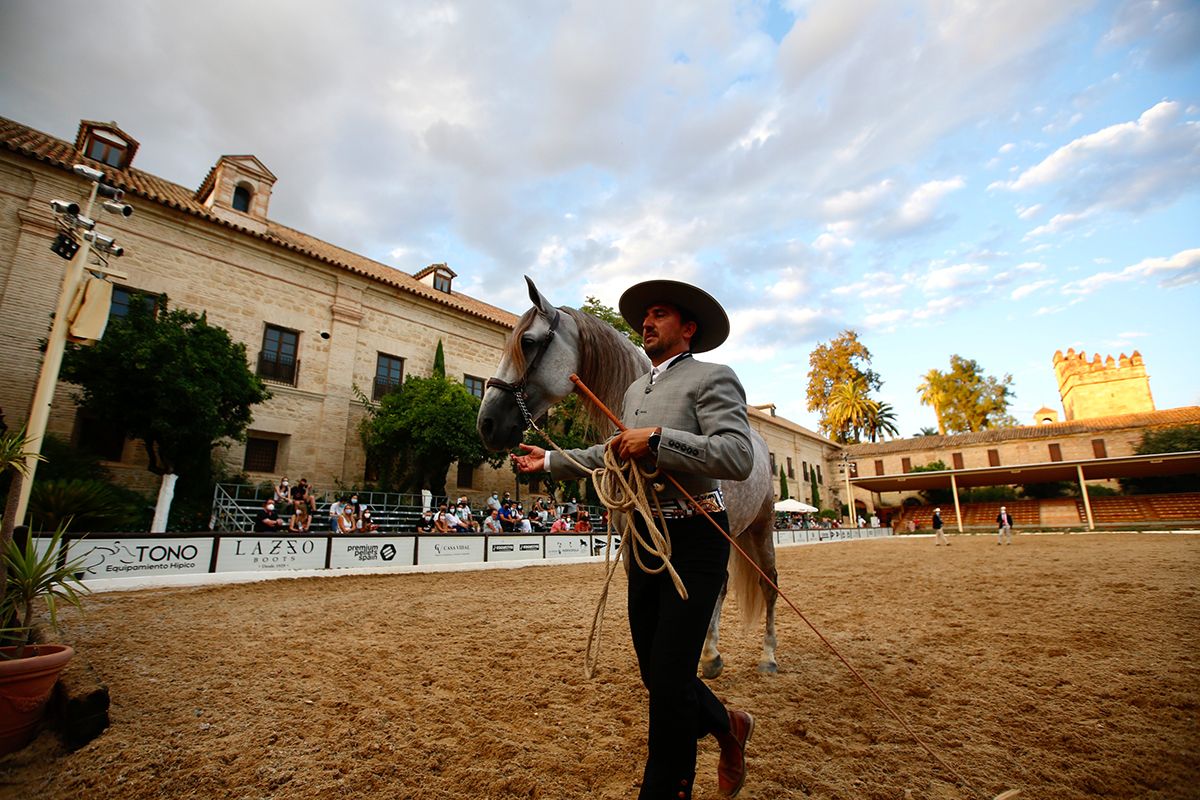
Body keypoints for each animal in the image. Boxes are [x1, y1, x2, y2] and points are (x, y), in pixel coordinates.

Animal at [477, 275, 777, 676]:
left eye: (527, 342)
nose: (487, 424)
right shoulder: (634, 544)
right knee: (722, 586)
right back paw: (710, 655)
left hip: (760, 528)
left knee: (769, 585)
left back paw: (768, 656)